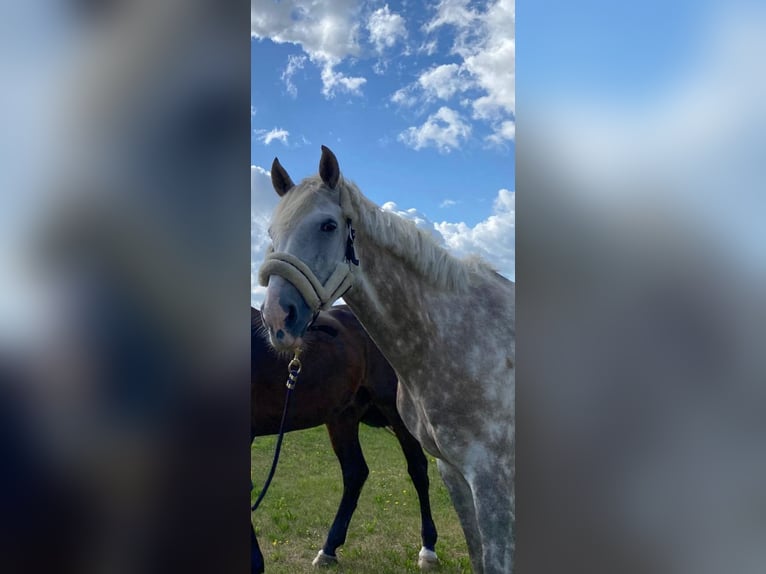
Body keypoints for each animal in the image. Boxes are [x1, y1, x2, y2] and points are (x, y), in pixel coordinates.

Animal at [251, 305, 440, 569]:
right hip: (342, 417)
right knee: (355, 472)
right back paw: (329, 548)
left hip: (395, 411)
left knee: (418, 469)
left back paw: (428, 549)